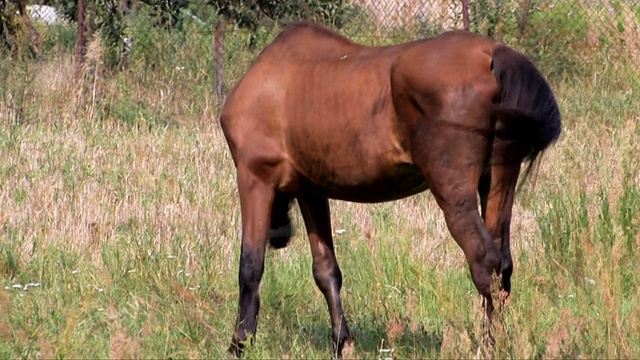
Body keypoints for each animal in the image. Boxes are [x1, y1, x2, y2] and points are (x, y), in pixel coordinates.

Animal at [220, 22, 560, 358]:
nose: (279, 234)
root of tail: (492, 55)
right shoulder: (311, 192)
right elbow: (326, 271)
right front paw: (342, 342)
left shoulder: (254, 177)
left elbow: (250, 266)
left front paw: (239, 342)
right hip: (498, 182)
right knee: (503, 264)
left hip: (455, 196)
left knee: (485, 262)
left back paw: (490, 346)